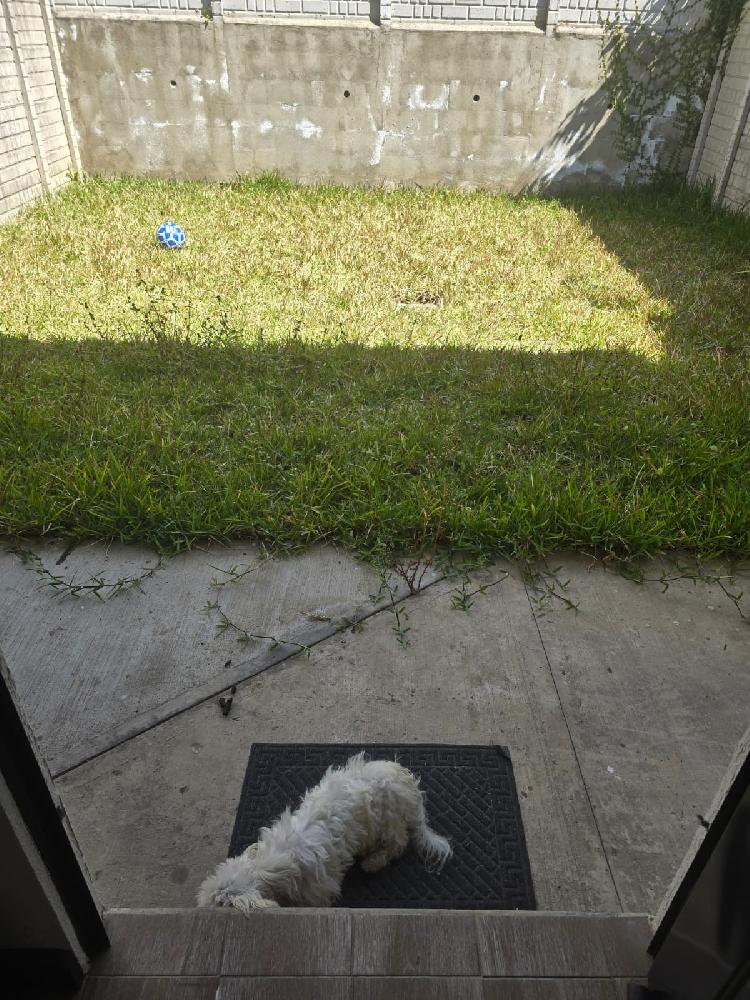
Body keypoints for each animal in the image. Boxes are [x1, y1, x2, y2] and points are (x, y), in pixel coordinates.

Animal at [197, 752, 452, 912]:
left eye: (217, 905)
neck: (268, 866)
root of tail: (407, 785)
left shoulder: (319, 891)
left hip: (387, 822)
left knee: (398, 843)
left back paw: (374, 860)